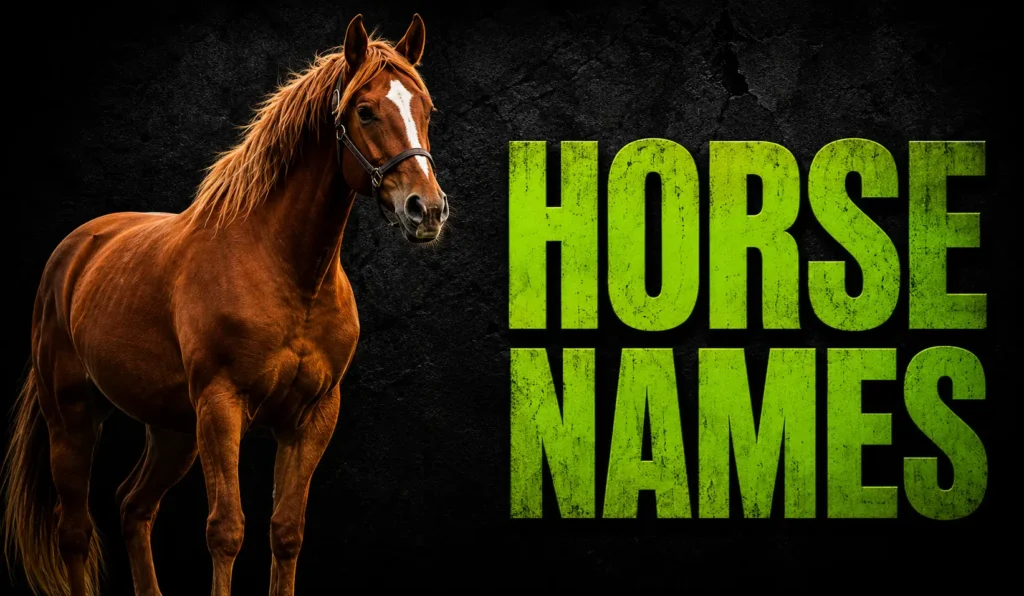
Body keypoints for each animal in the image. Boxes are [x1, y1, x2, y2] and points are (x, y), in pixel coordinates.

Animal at [2, 13, 447, 596]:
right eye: (365, 110)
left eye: (426, 109)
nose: (427, 210)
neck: (285, 270)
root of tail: (75, 251)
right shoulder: (221, 406)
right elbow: (226, 530)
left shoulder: (313, 416)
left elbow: (286, 531)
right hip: (72, 418)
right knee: (74, 531)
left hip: (171, 430)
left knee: (132, 506)